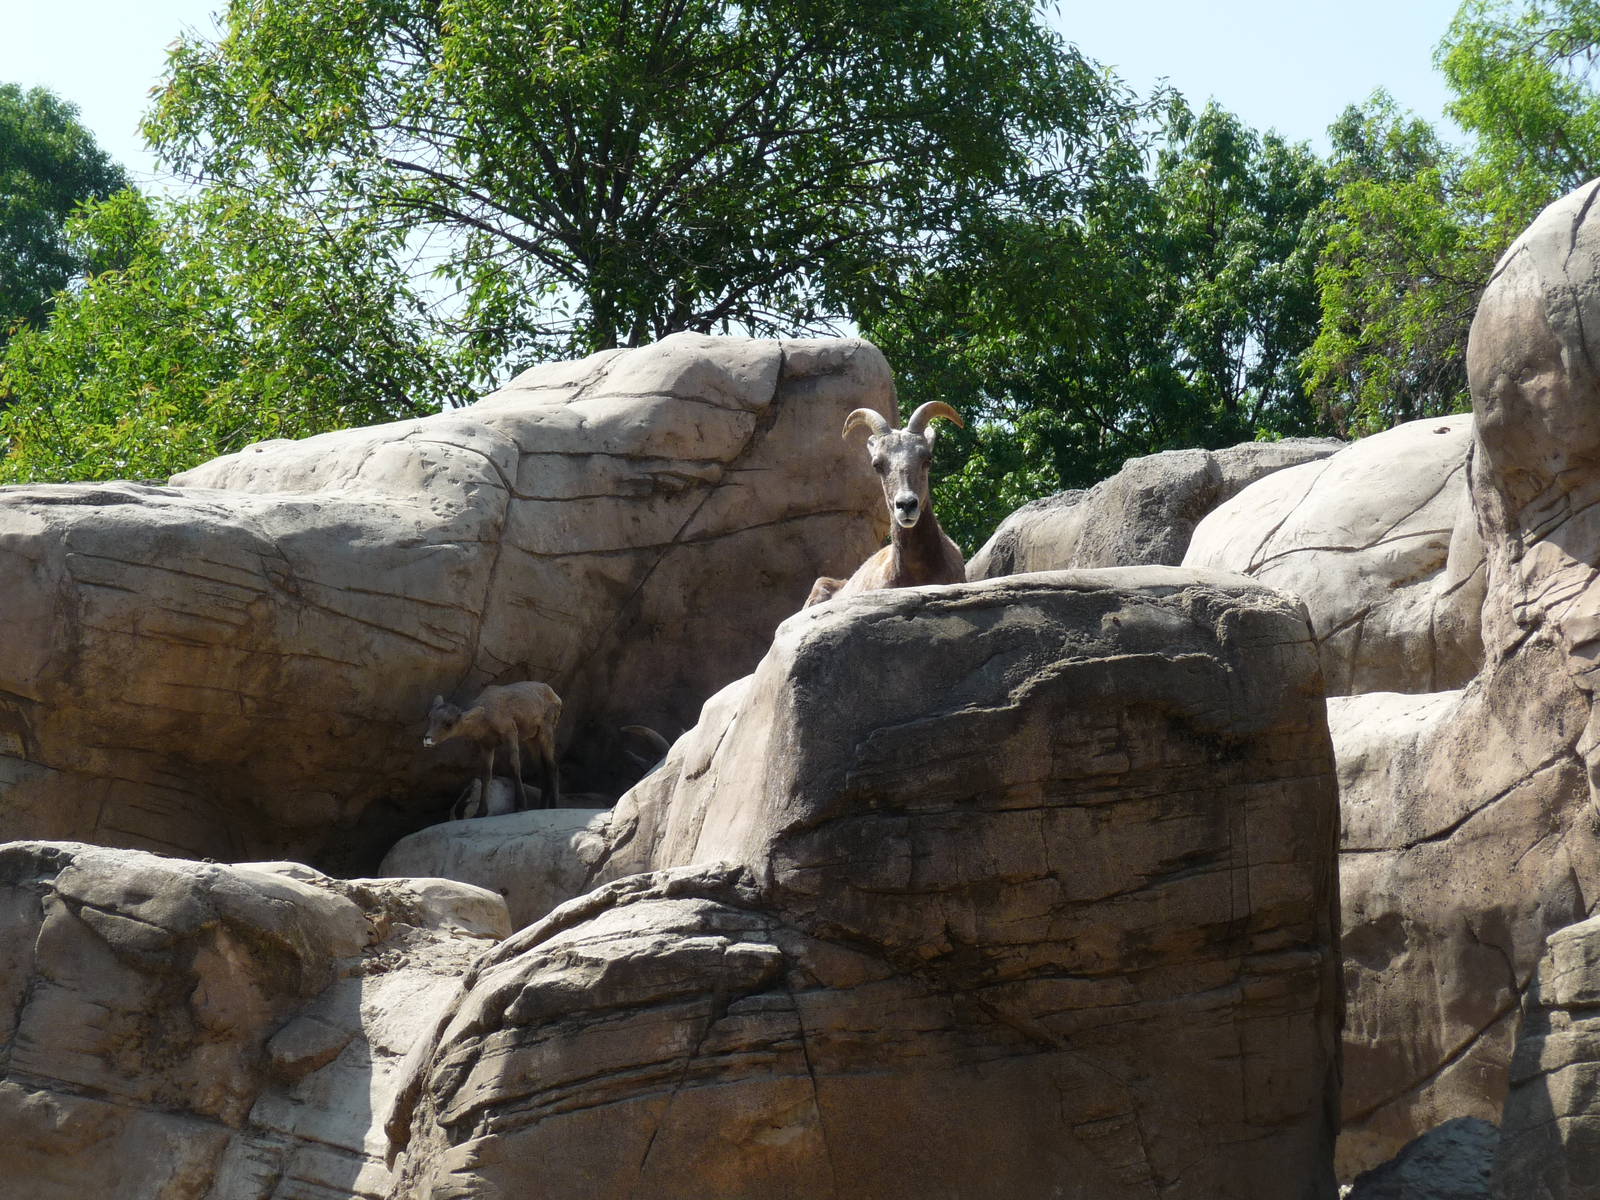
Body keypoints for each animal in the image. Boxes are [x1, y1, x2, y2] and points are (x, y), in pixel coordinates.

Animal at [423, 681, 562, 812]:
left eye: (449, 723)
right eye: (429, 717)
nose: (427, 739)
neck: (484, 721)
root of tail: (557, 698)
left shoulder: (510, 732)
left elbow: (514, 765)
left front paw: (521, 806)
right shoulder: (487, 745)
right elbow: (486, 775)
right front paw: (480, 812)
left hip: (546, 729)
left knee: (552, 766)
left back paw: (554, 806)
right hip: (531, 738)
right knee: (542, 769)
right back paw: (542, 807)